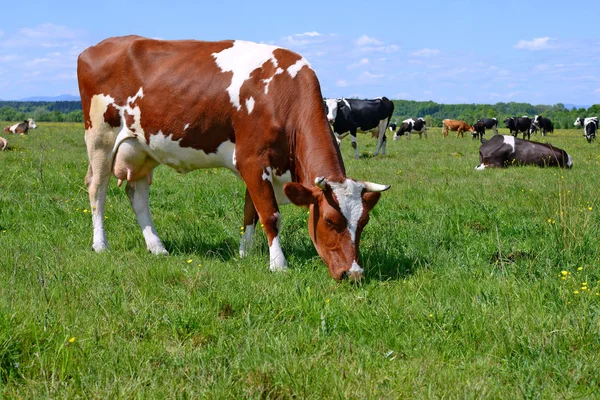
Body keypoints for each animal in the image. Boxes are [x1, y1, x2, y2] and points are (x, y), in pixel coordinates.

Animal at [77, 36, 390, 282]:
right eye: (329, 221)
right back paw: (100, 244)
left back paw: (157, 247)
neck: (281, 95)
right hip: (100, 139)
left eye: (363, 223)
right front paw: (278, 264)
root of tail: (97, 47)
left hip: (142, 148)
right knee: (97, 190)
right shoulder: (252, 160)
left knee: (137, 194)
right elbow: (271, 215)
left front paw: (245, 253)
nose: (354, 274)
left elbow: (251, 211)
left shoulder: (259, 166)